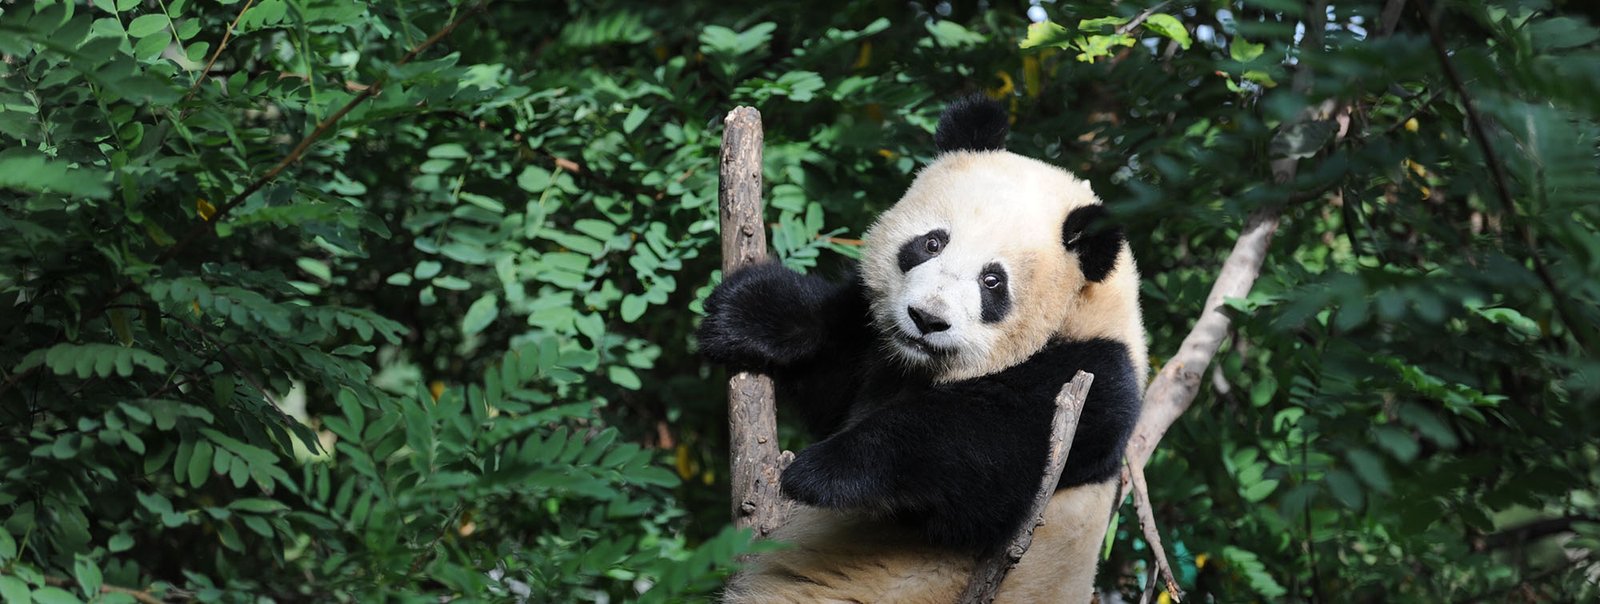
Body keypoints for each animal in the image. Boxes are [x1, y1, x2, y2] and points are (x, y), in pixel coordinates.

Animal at [697, 95, 1147, 603]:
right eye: (932, 242)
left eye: (992, 281)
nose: (927, 319)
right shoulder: (875, 354)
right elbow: (833, 366)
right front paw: (749, 312)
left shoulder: (1093, 380)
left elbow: (988, 448)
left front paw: (824, 471)